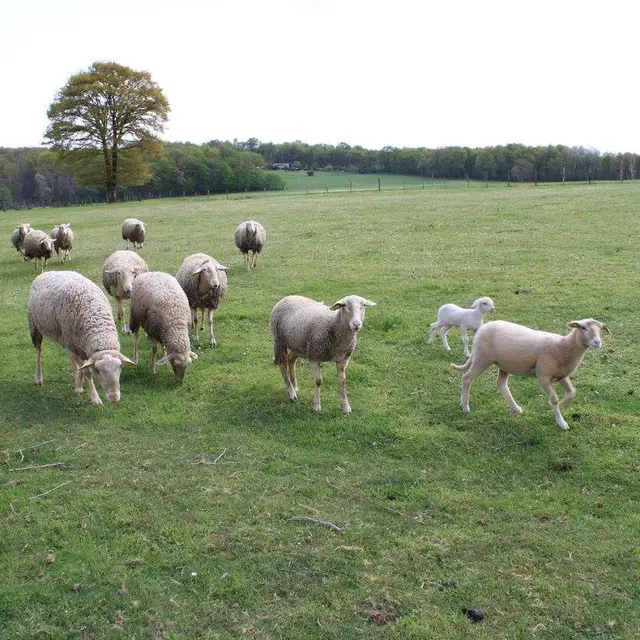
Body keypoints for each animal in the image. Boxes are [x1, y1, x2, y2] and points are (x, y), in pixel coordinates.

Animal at [27, 270, 135, 404]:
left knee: (70, 358)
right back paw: (38, 378)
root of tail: (47, 272)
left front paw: (79, 385)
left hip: (68, 338)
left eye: (120, 367)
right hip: (35, 326)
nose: (114, 398)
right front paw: (95, 398)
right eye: (98, 370)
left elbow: (82, 367)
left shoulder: (80, 346)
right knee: (38, 352)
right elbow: (86, 371)